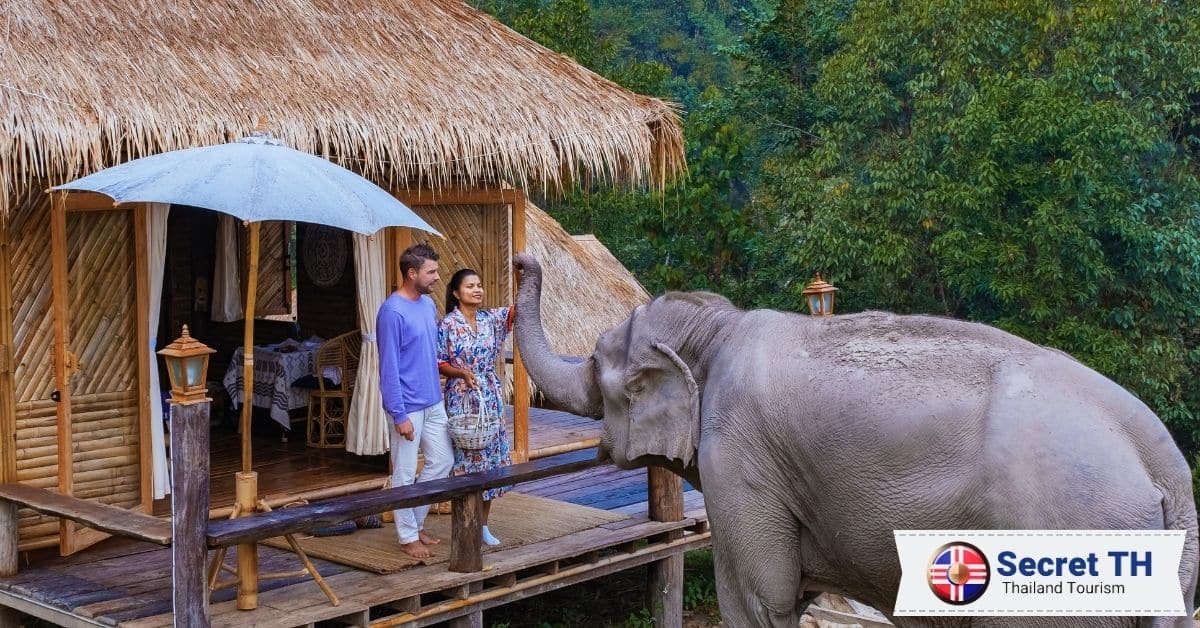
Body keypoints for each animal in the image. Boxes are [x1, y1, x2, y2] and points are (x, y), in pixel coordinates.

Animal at [511, 252, 1199, 627]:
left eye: (599, 366)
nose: (522, 260)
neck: (717, 327)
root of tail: (1164, 468)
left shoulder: (739, 458)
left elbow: (760, 601)